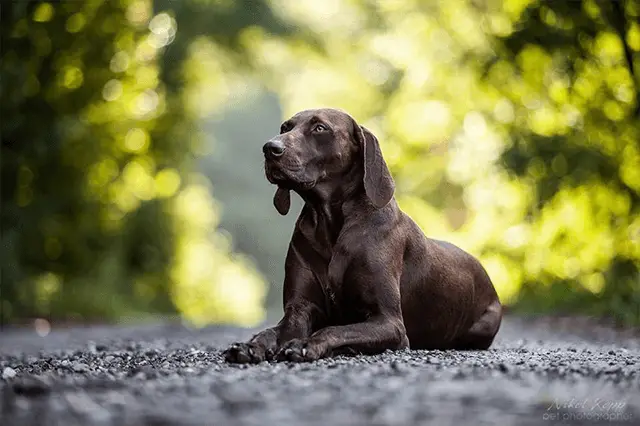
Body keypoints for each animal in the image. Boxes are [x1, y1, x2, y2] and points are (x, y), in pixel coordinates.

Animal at [224, 107, 500, 362]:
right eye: (285, 127)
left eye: (320, 128)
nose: (270, 148)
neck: (330, 224)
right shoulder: (299, 309)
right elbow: (273, 331)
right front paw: (251, 345)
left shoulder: (389, 322)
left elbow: (335, 330)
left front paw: (306, 344)